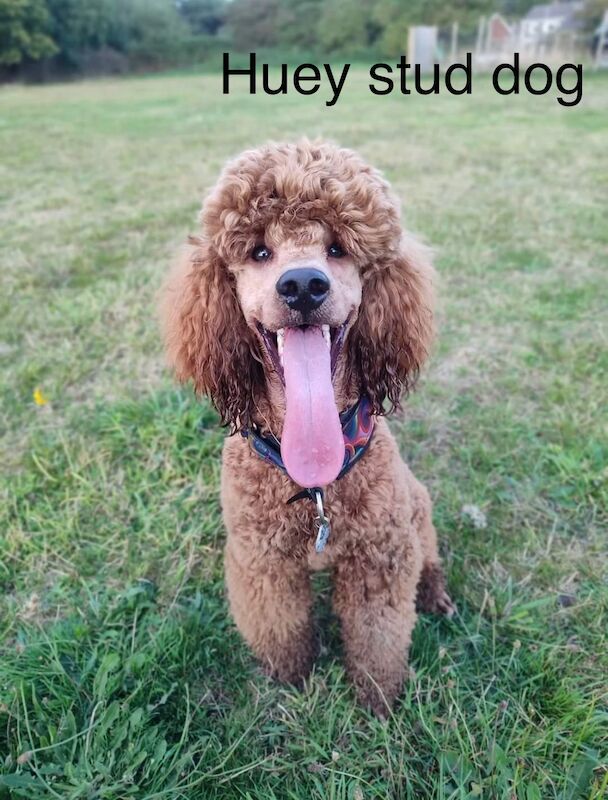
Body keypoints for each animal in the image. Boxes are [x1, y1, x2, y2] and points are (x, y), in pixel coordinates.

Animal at [159, 141, 454, 716]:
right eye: (259, 252)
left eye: (338, 249)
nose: (301, 285)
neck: (314, 486)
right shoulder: (264, 563)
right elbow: (283, 629)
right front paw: (292, 679)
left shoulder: (378, 561)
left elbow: (378, 637)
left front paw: (378, 702)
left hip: (415, 511)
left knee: (428, 557)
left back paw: (435, 593)